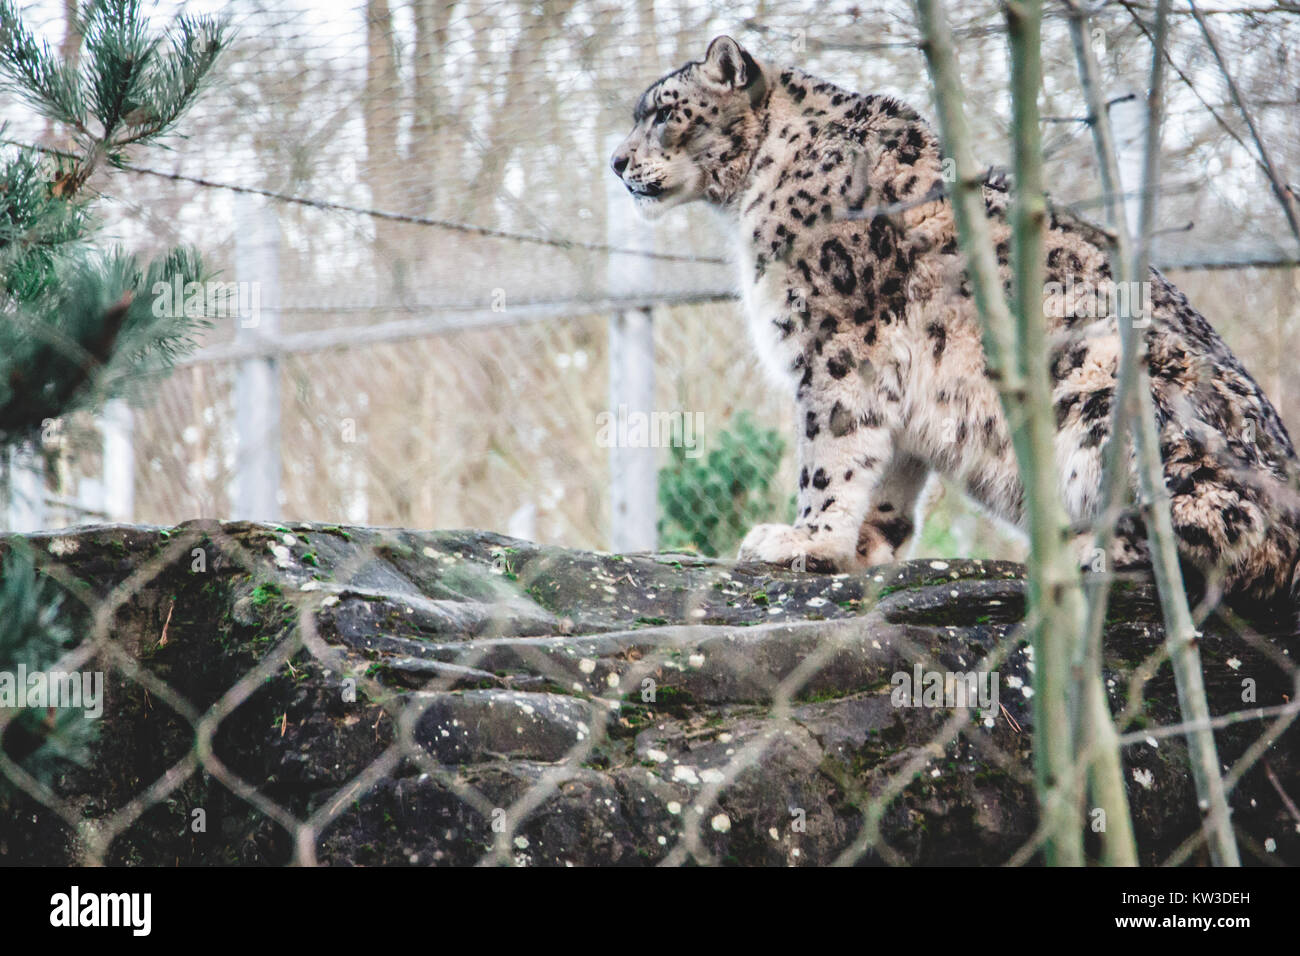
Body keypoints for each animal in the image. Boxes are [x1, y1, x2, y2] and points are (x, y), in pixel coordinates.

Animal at [610, 35, 1300, 628]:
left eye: (664, 112)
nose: (616, 162)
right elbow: (884, 464)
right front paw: (862, 547)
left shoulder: (836, 342)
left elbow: (830, 452)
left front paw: (802, 539)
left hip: (1103, 387)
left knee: (1226, 533)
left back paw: (1080, 550)